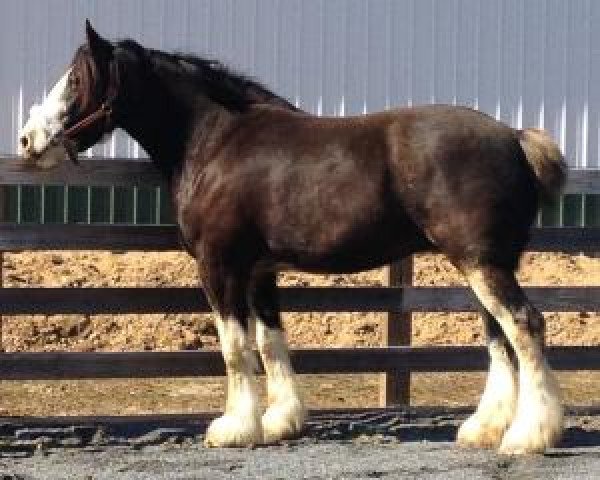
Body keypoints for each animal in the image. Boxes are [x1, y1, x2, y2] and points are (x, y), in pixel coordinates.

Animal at [17, 19, 568, 454]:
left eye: (76, 80)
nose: (27, 140)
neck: (216, 141)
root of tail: (516, 139)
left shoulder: (220, 267)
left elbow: (235, 348)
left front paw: (234, 427)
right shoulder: (261, 273)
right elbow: (270, 343)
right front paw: (281, 422)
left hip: (483, 264)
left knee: (525, 325)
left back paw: (528, 436)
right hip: (483, 265)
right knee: (499, 336)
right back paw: (485, 429)